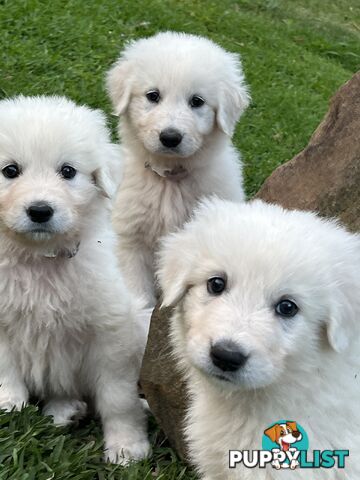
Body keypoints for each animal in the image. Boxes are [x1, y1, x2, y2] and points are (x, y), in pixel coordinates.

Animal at [0, 95, 150, 464]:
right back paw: (66, 410)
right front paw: (9, 402)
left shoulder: (111, 335)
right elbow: (5, 364)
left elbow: (117, 398)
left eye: (68, 171)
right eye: (10, 171)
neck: (39, 259)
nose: (40, 211)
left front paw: (127, 446)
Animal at [106, 31, 250, 308]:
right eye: (153, 95)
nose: (170, 137)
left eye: (197, 101)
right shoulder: (131, 241)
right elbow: (139, 295)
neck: (169, 180)